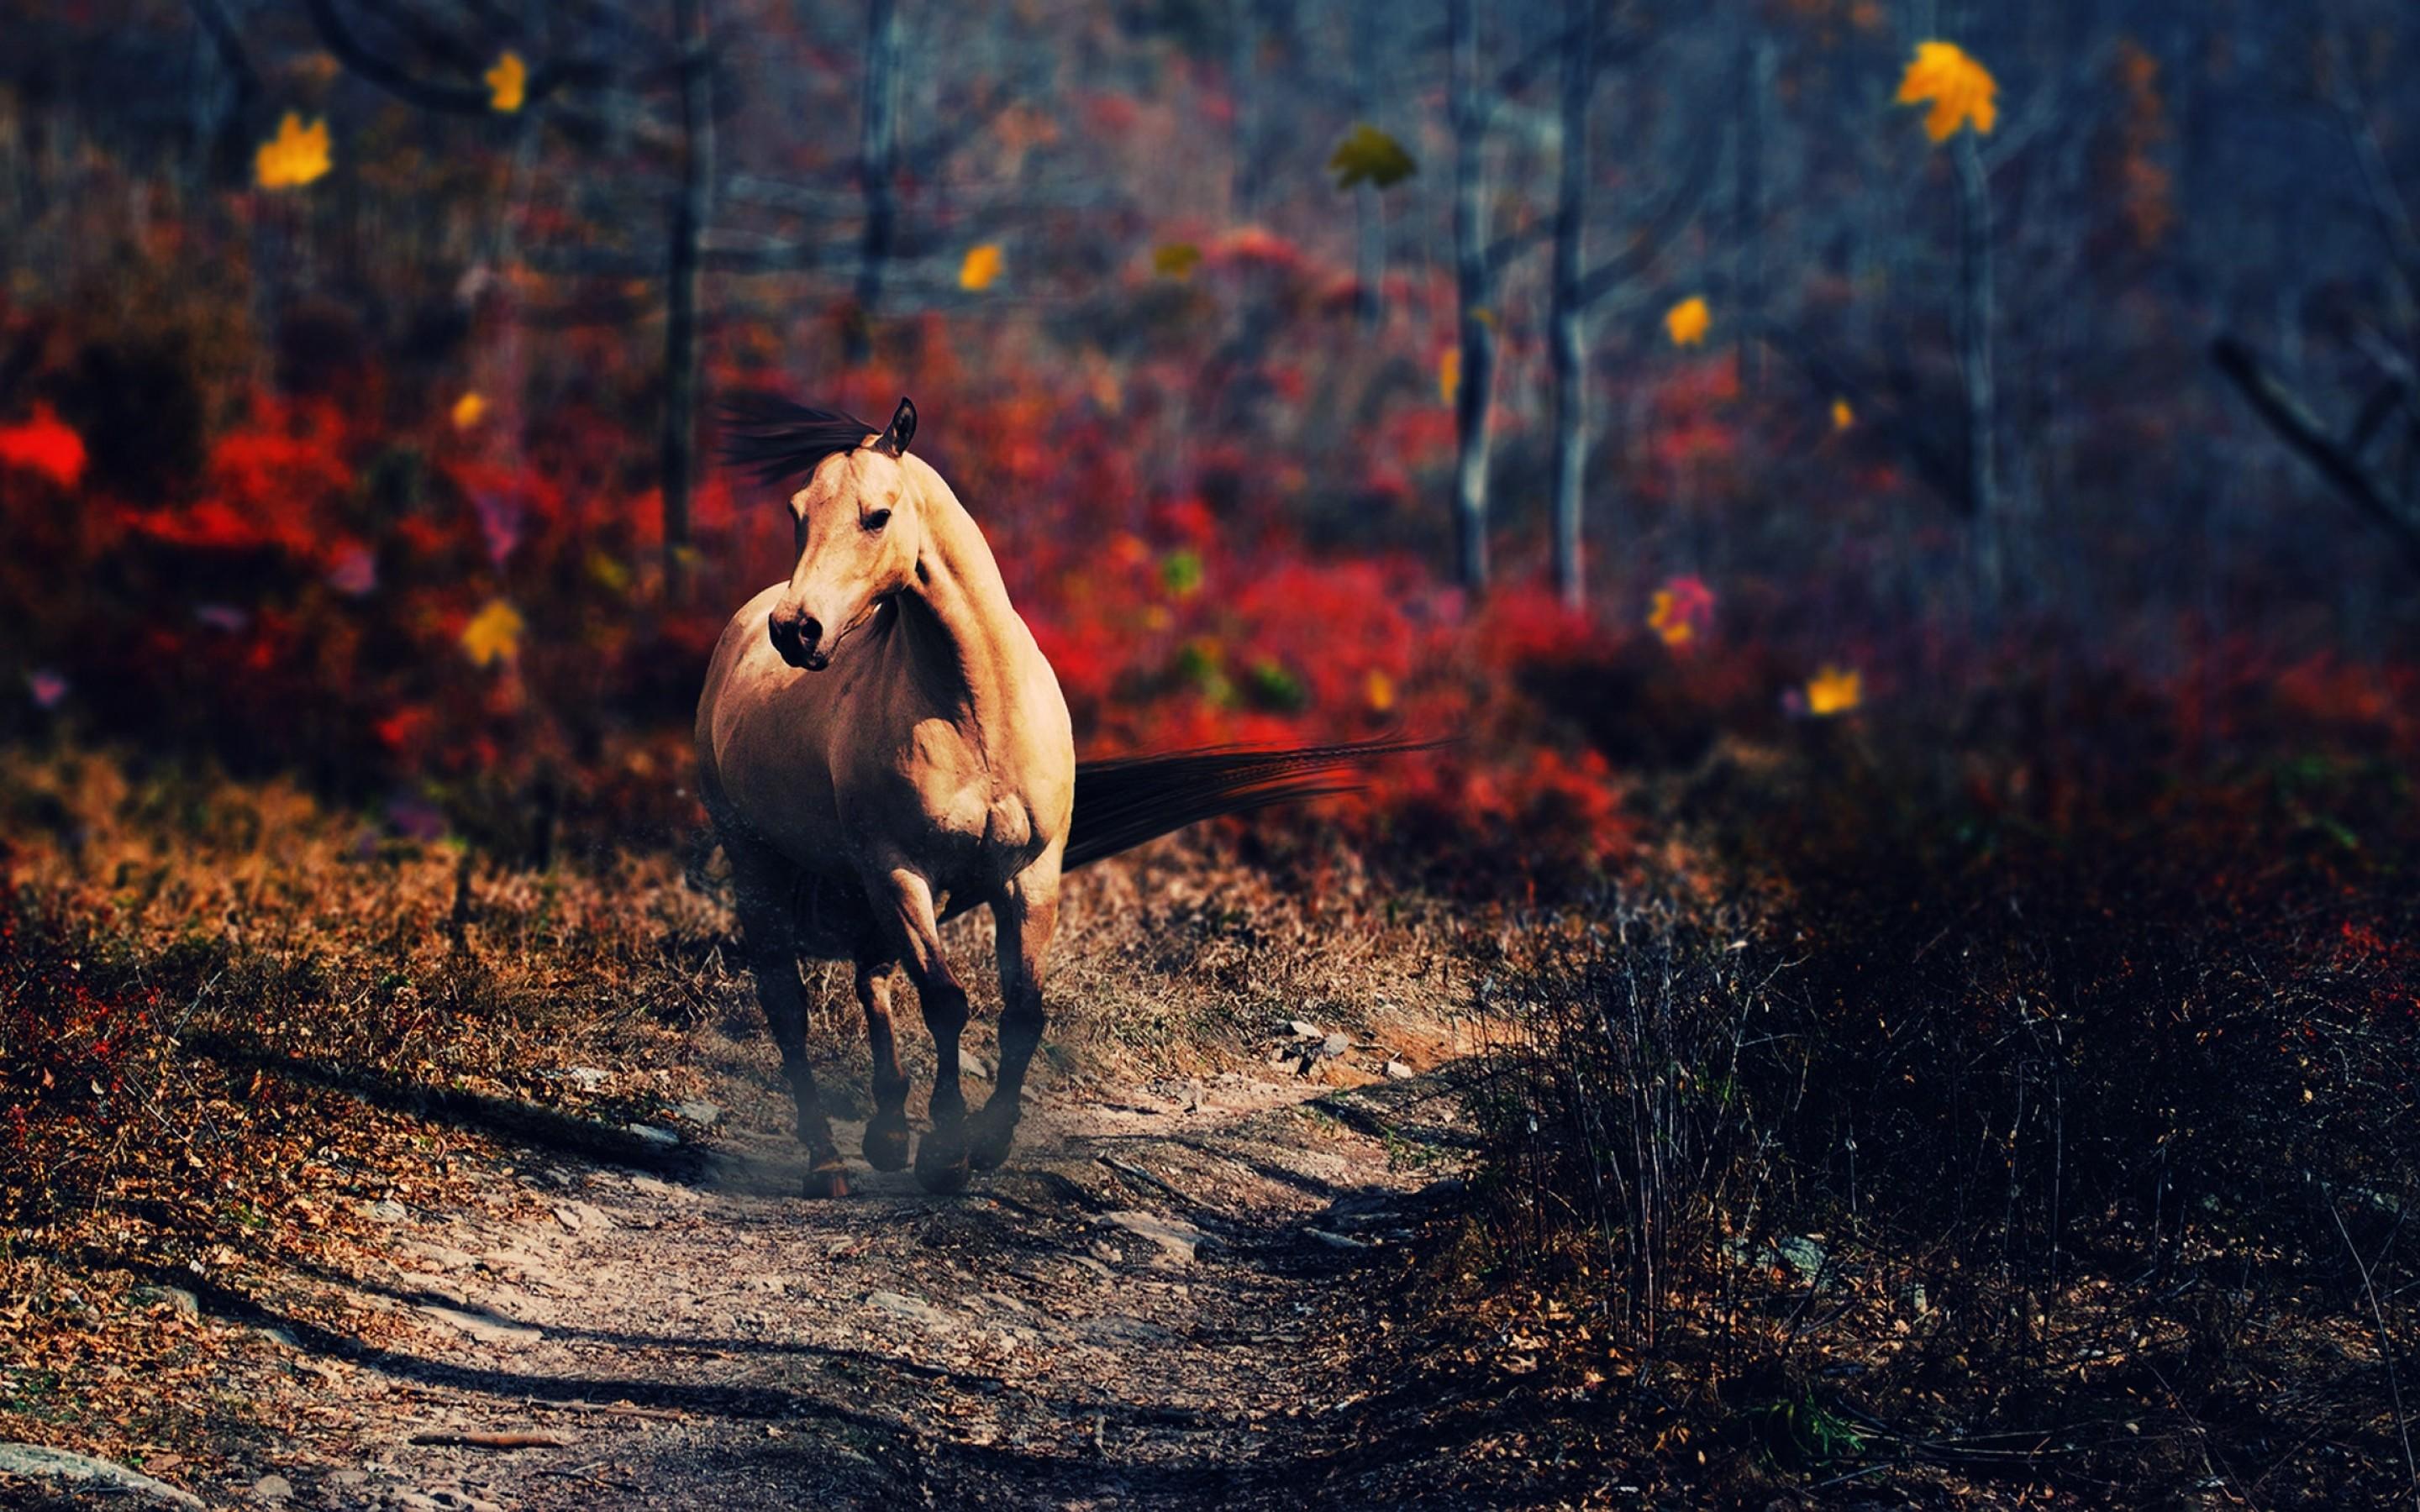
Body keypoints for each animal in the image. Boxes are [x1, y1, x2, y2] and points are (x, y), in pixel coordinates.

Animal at [698, 395, 1413, 1196]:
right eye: (797, 513)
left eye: (876, 515)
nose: (796, 631)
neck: (975, 709)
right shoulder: (903, 870)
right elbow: (946, 1001)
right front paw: (947, 1150)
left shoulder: (1028, 873)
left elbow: (1023, 1011)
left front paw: (986, 1141)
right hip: (764, 863)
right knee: (787, 1005)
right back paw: (827, 1162)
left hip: (864, 881)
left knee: (870, 976)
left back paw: (885, 1134)